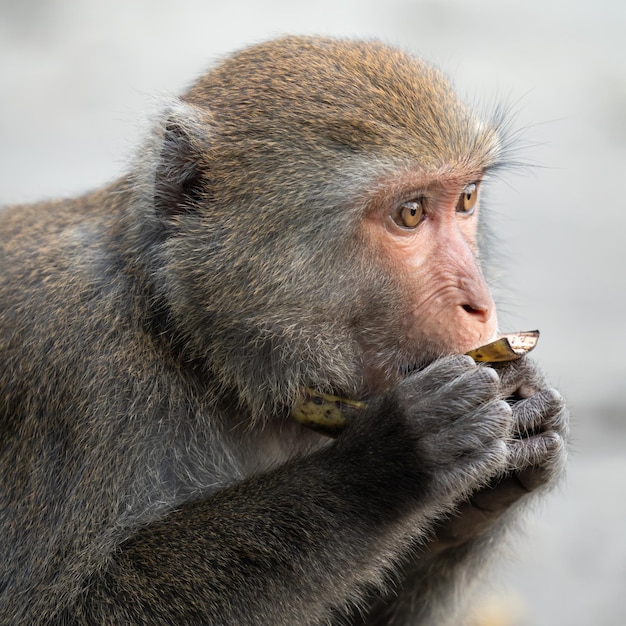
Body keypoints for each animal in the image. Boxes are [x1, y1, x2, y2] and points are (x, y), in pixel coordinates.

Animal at [0, 36, 564, 620]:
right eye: (410, 213)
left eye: (467, 198)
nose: (479, 304)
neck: (189, 344)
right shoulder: (74, 369)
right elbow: (62, 609)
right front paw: (386, 467)